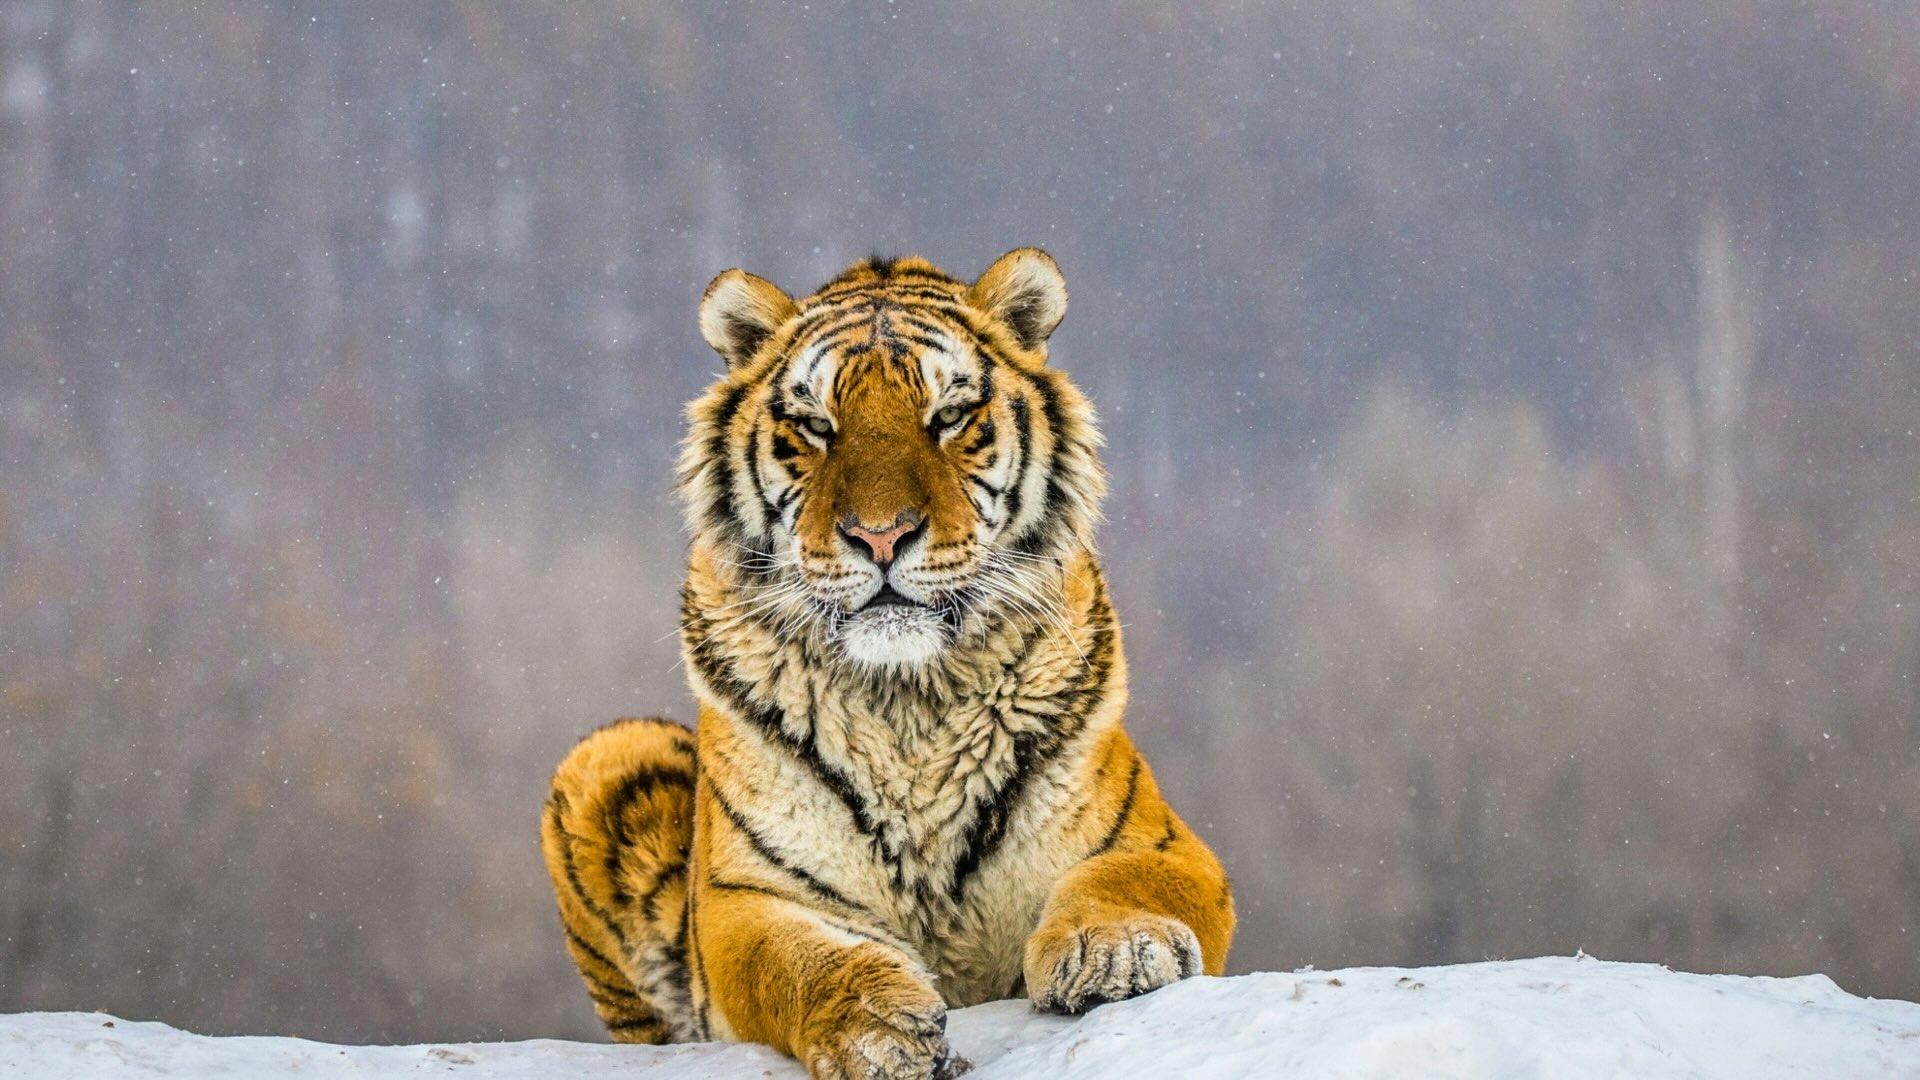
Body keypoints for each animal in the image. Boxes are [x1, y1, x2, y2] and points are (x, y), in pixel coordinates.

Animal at [540, 249, 1234, 1079]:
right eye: (815, 426)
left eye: (949, 417)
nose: (880, 535)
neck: (910, 702)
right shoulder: (745, 897)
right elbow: (798, 961)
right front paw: (878, 1024)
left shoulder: (1161, 843)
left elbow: (1126, 880)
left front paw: (1117, 952)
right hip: (608, 753)